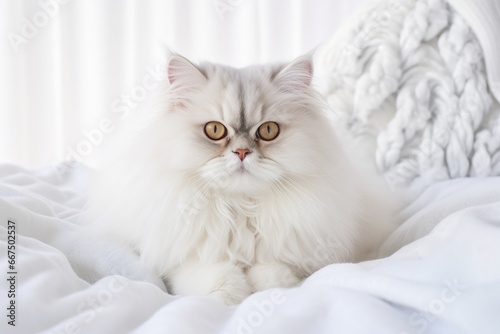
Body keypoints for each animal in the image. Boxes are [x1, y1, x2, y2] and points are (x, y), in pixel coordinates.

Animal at [88, 51, 396, 302]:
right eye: (214, 130)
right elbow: (213, 275)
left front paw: (268, 288)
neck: (239, 210)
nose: (242, 152)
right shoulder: (181, 259)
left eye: (269, 131)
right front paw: (229, 296)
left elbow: (274, 273)